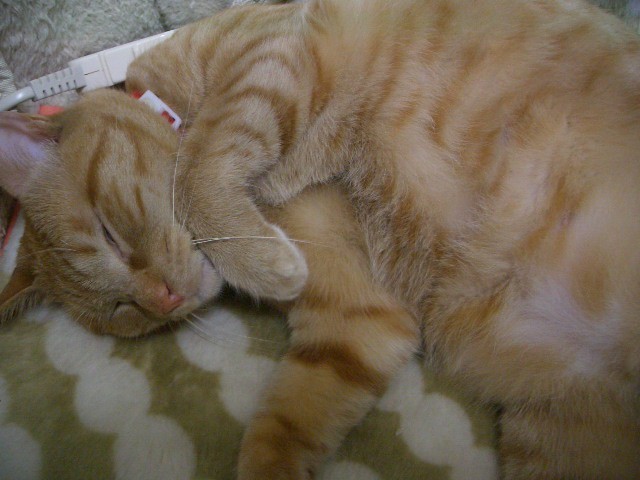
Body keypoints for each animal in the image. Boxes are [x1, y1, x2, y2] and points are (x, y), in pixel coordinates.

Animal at [1, 0, 640, 479]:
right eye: (122, 310)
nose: (163, 299)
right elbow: (283, 425)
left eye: (109, 233)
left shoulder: (270, 56)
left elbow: (199, 166)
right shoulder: (358, 319)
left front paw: (259, 257)